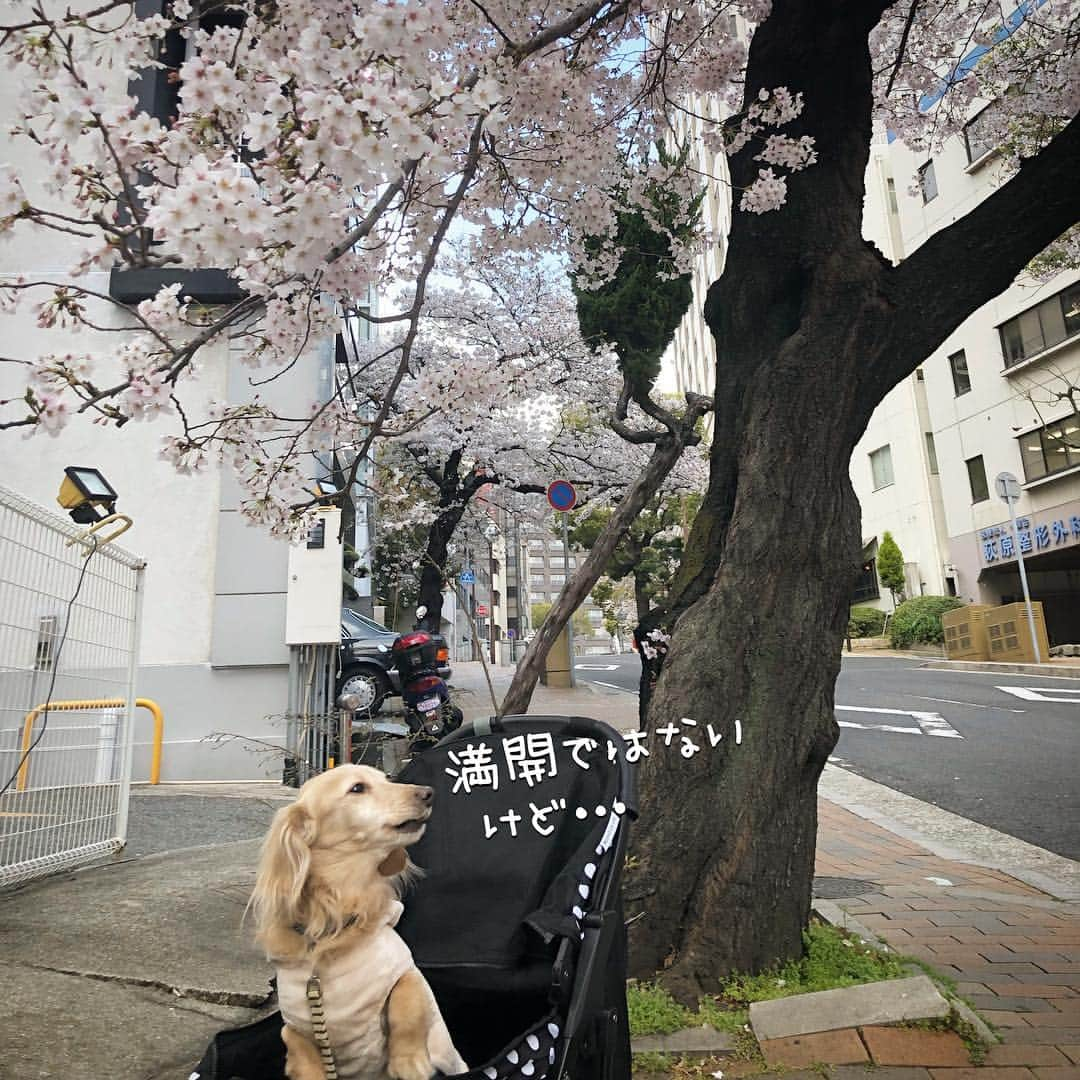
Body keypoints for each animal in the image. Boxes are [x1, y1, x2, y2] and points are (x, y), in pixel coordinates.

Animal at [252, 764, 473, 1080]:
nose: (428, 793)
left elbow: (407, 1002)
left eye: (387, 778)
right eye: (357, 788)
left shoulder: (405, 970)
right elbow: (298, 1048)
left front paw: (409, 1062)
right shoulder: (295, 1025)